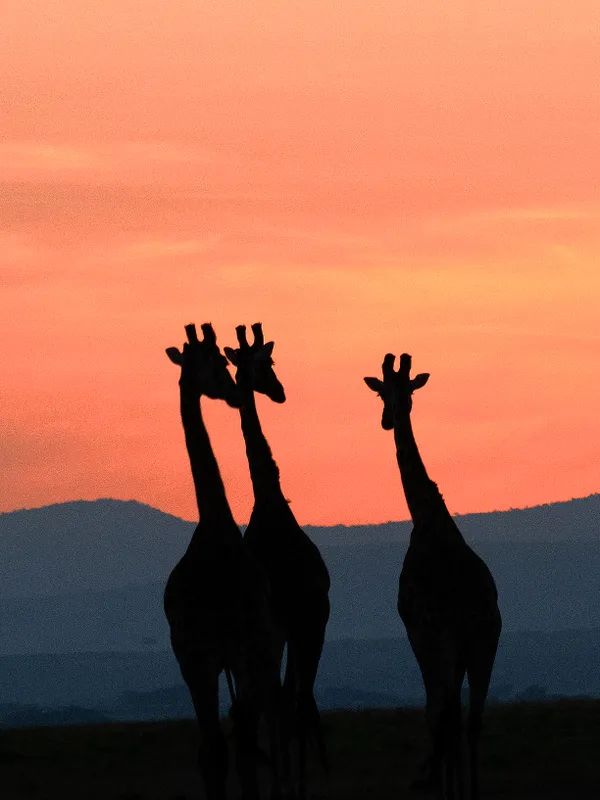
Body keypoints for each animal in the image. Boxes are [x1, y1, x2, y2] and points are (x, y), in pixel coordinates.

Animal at [364, 352, 501, 800]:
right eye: (384, 392)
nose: (387, 420)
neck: (425, 516)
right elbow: (454, 716)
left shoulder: (418, 631)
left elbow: (433, 712)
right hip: (484, 642)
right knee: (471, 720)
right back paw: (470, 790)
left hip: (447, 641)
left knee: (443, 714)